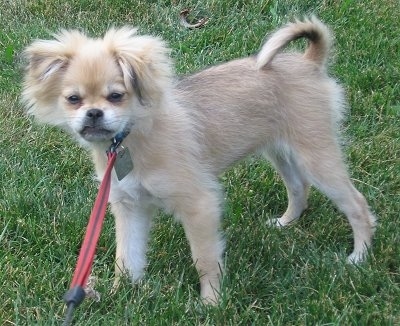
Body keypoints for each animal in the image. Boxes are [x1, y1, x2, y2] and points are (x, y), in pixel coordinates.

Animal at [23, 17, 376, 304]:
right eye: (73, 99)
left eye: (116, 96)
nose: (93, 113)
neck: (132, 139)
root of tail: (308, 62)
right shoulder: (129, 206)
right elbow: (127, 256)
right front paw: (119, 292)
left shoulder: (199, 205)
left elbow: (204, 259)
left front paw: (211, 303)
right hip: (282, 152)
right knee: (298, 187)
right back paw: (287, 222)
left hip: (316, 156)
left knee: (357, 205)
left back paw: (359, 257)